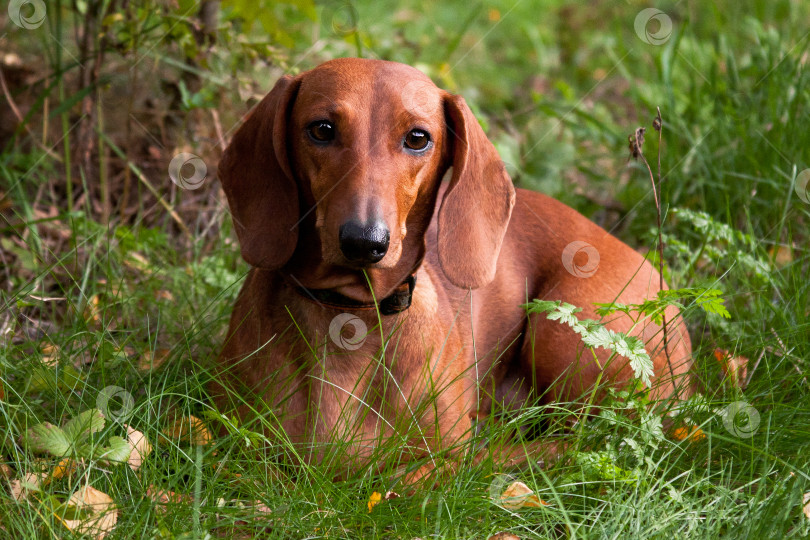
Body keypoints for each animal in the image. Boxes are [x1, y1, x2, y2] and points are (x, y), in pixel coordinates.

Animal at [211, 58, 692, 476]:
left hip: (562, 330)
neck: (351, 315)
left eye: (417, 138)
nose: (365, 242)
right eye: (322, 129)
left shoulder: (440, 465)